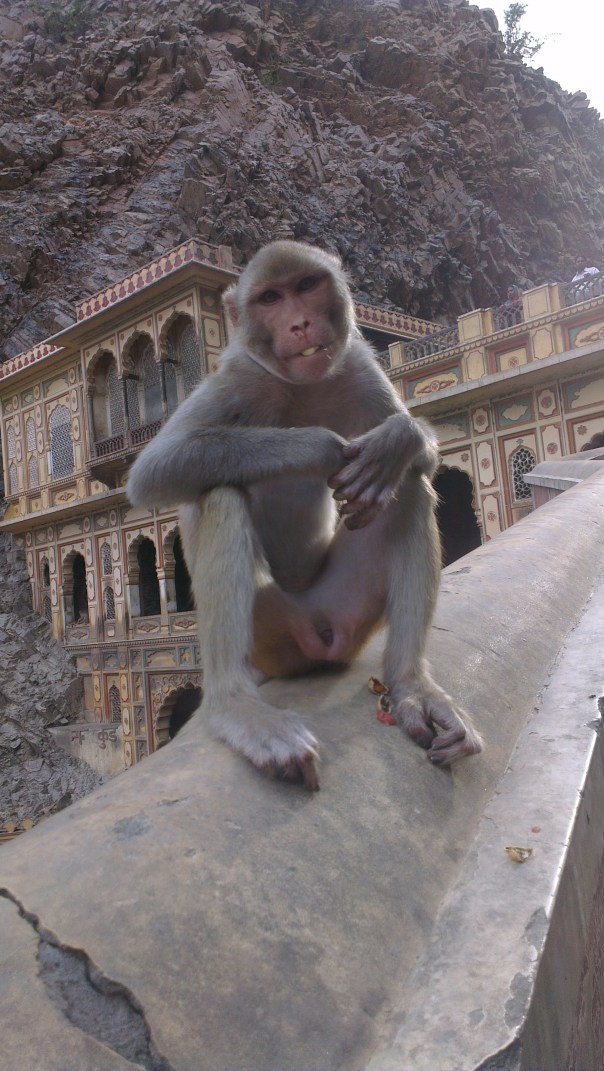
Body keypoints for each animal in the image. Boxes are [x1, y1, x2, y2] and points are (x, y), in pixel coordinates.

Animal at [127, 241, 482, 790]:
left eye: (306, 286)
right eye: (270, 298)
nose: (299, 324)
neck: (299, 386)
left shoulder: (357, 363)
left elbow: (415, 460)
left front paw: (395, 440)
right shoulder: (237, 376)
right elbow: (156, 469)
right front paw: (322, 447)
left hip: (345, 609)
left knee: (408, 488)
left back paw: (411, 687)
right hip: (269, 630)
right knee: (221, 494)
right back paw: (236, 707)